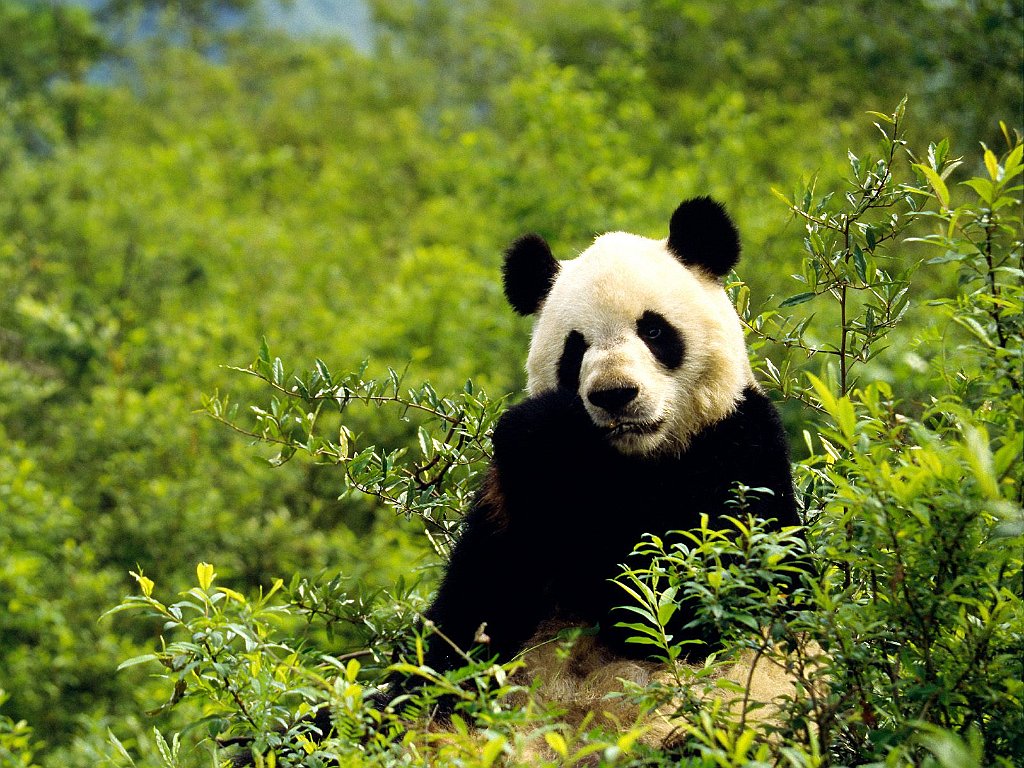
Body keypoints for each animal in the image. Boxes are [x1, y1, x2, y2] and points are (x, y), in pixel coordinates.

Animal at [380, 196, 802, 745]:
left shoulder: (740, 448)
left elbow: (687, 601)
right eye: (575, 346)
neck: (631, 460)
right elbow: (467, 622)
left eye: (653, 329)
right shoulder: (510, 515)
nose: (614, 395)